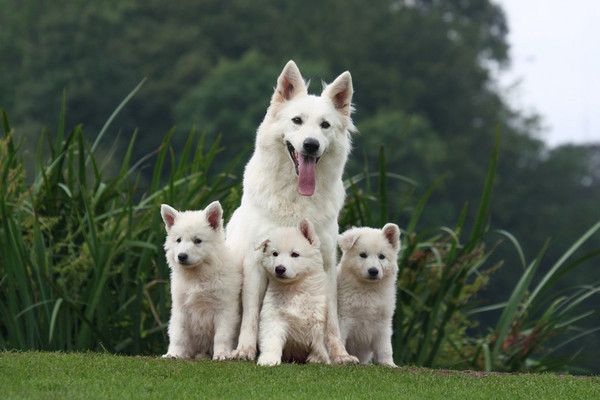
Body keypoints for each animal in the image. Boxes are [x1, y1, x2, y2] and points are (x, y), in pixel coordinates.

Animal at [163, 202, 243, 360]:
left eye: (198, 241)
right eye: (178, 240)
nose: (181, 256)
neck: (197, 277)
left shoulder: (224, 309)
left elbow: (222, 335)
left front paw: (221, 354)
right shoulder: (181, 309)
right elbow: (178, 334)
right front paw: (174, 353)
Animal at [253, 220, 328, 368]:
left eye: (295, 254)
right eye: (275, 254)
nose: (280, 269)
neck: (295, 289)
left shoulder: (318, 317)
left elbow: (319, 343)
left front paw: (319, 359)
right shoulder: (273, 317)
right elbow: (271, 339)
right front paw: (269, 359)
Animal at [338, 223, 398, 368]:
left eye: (382, 256)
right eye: (363, 255)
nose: (373, 271)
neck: (368, 290)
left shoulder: (383, 322)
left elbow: (385, 346)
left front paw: (389, 364)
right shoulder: (344, 317)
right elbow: (341, 338)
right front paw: (343, 357)